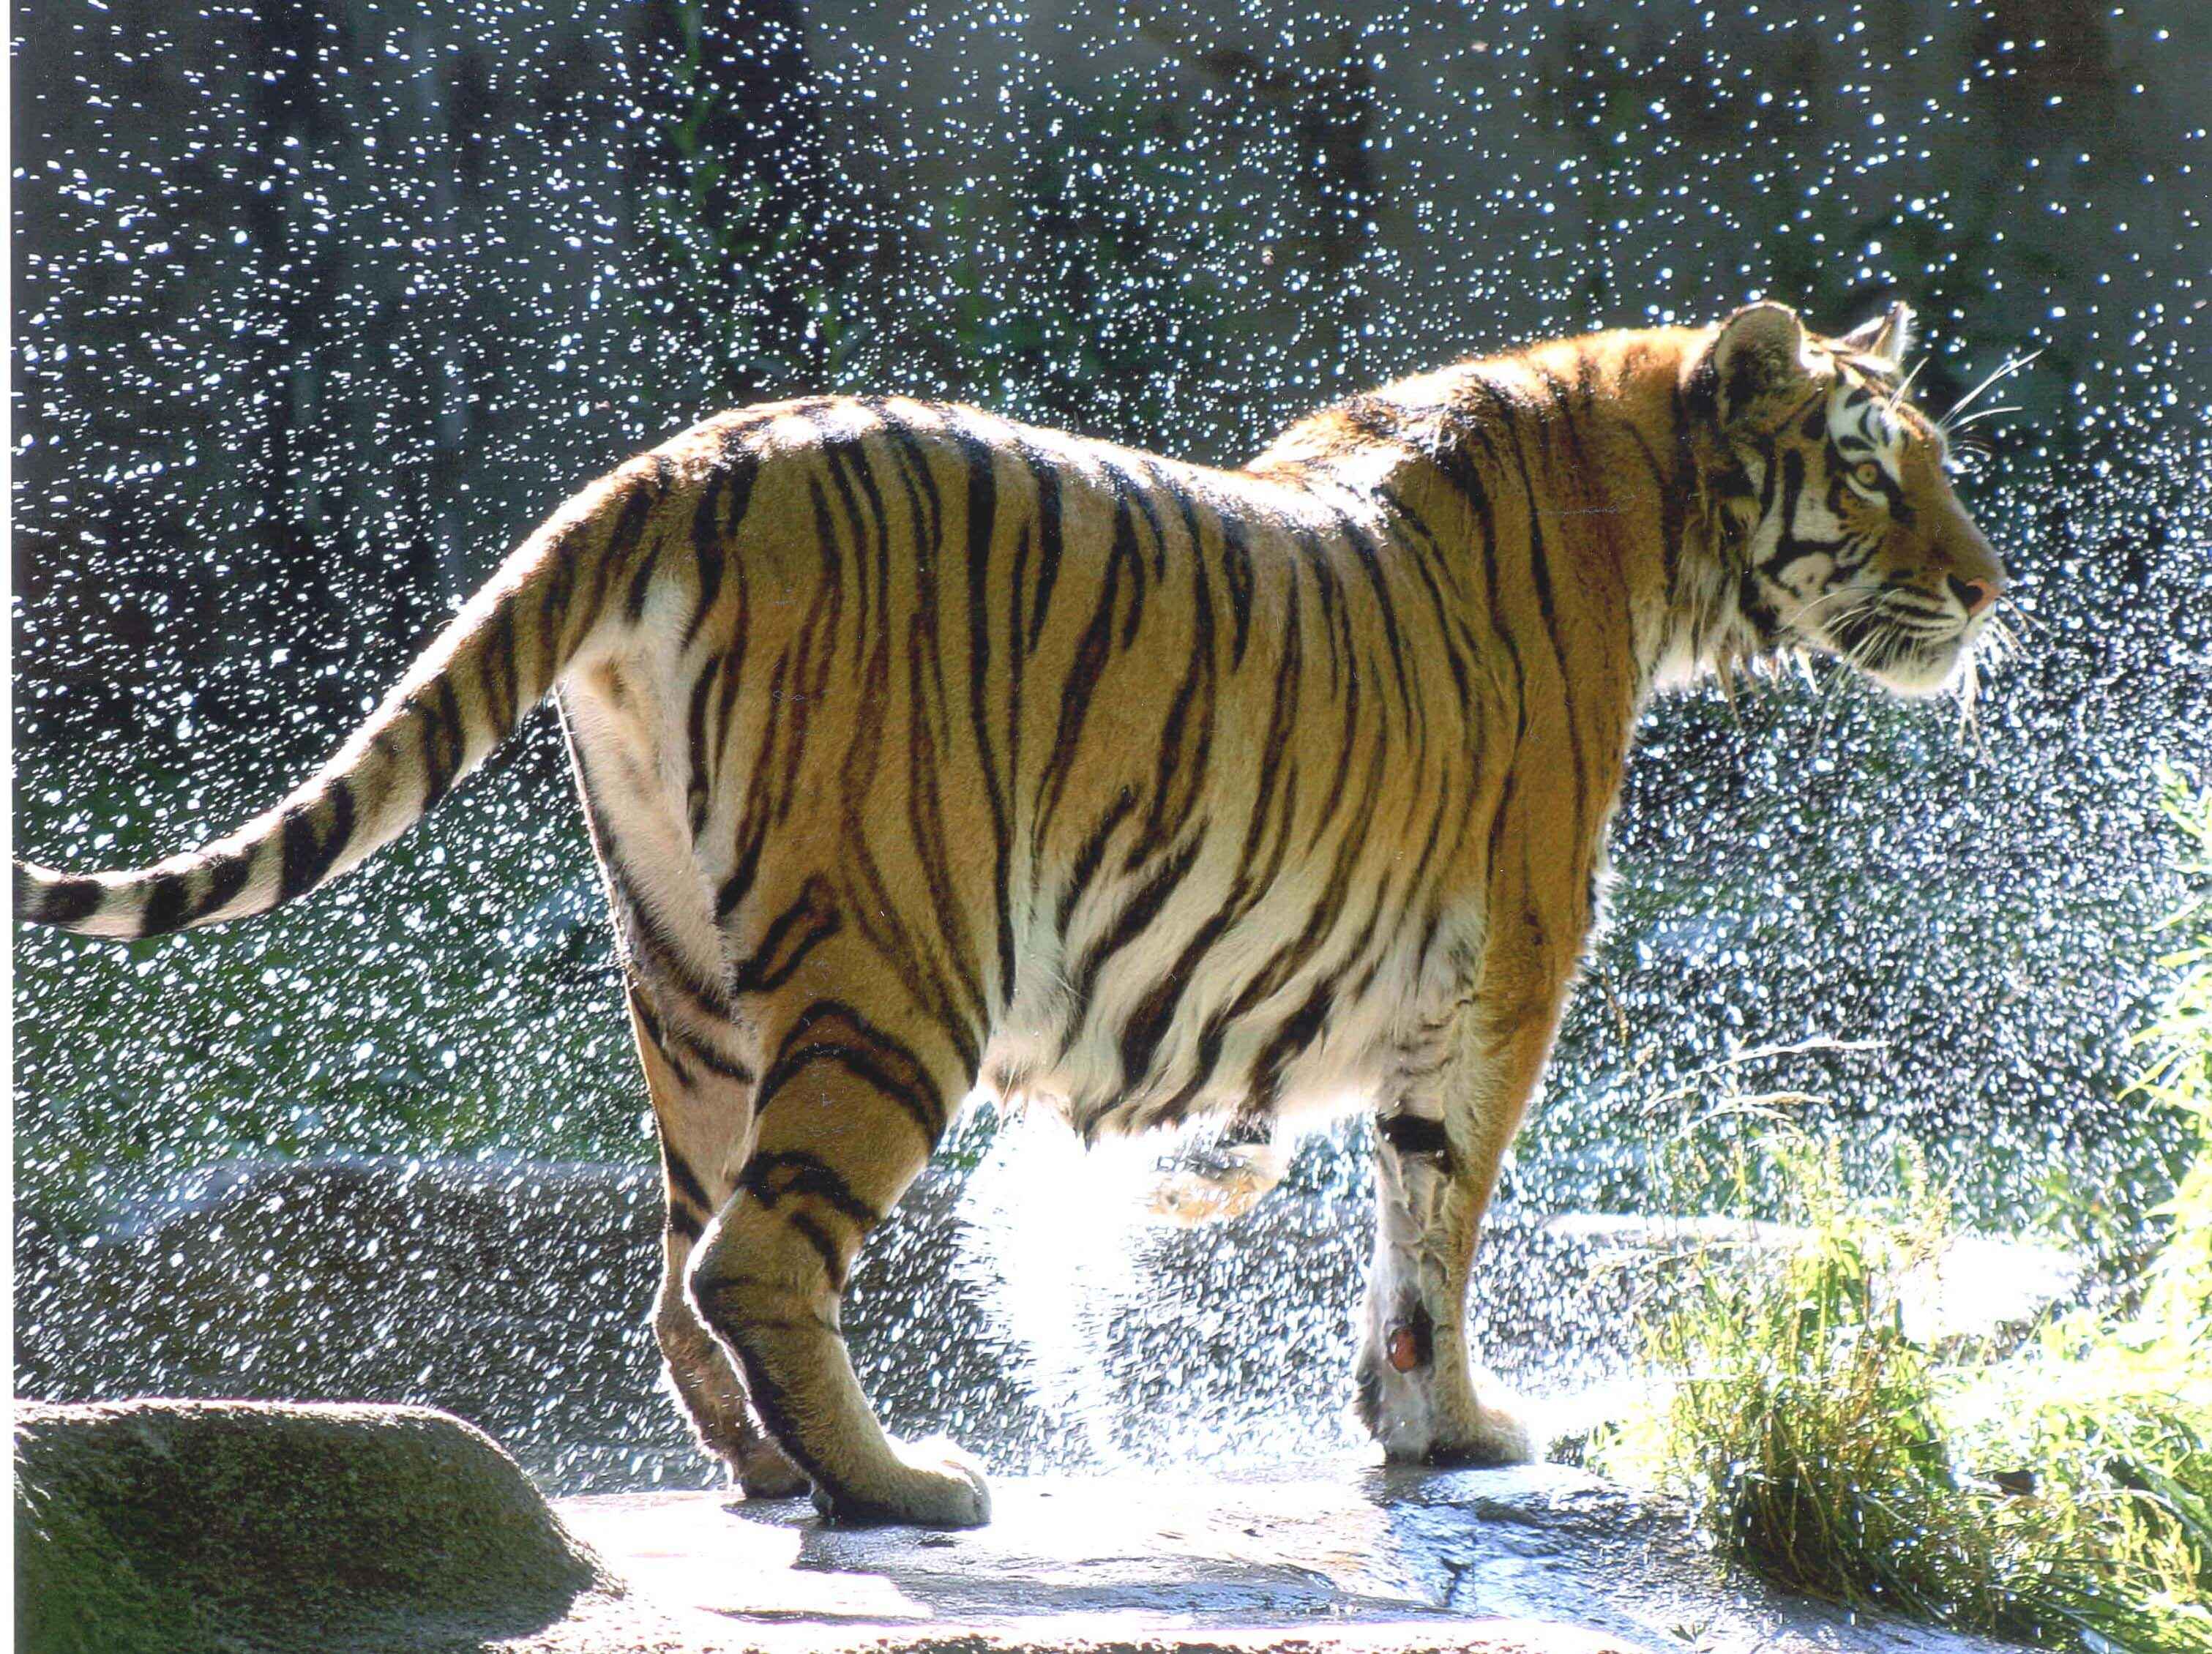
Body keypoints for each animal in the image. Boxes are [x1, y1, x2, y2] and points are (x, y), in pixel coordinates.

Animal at [12, 296, 2008, 1521]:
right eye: (1866, 464)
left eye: (1930, 458)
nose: (1989, 590)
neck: (1653, 527)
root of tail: (684, 460)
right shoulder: (1505, 965)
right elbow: (1427, 1224)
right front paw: (1450, 1433)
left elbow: (1303, 1146)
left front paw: (1184, 1187)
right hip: (896, 965)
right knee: (755, 1253)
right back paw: (902, 1484)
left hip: (684, 974)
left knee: (677, 1271)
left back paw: (775, 1472)